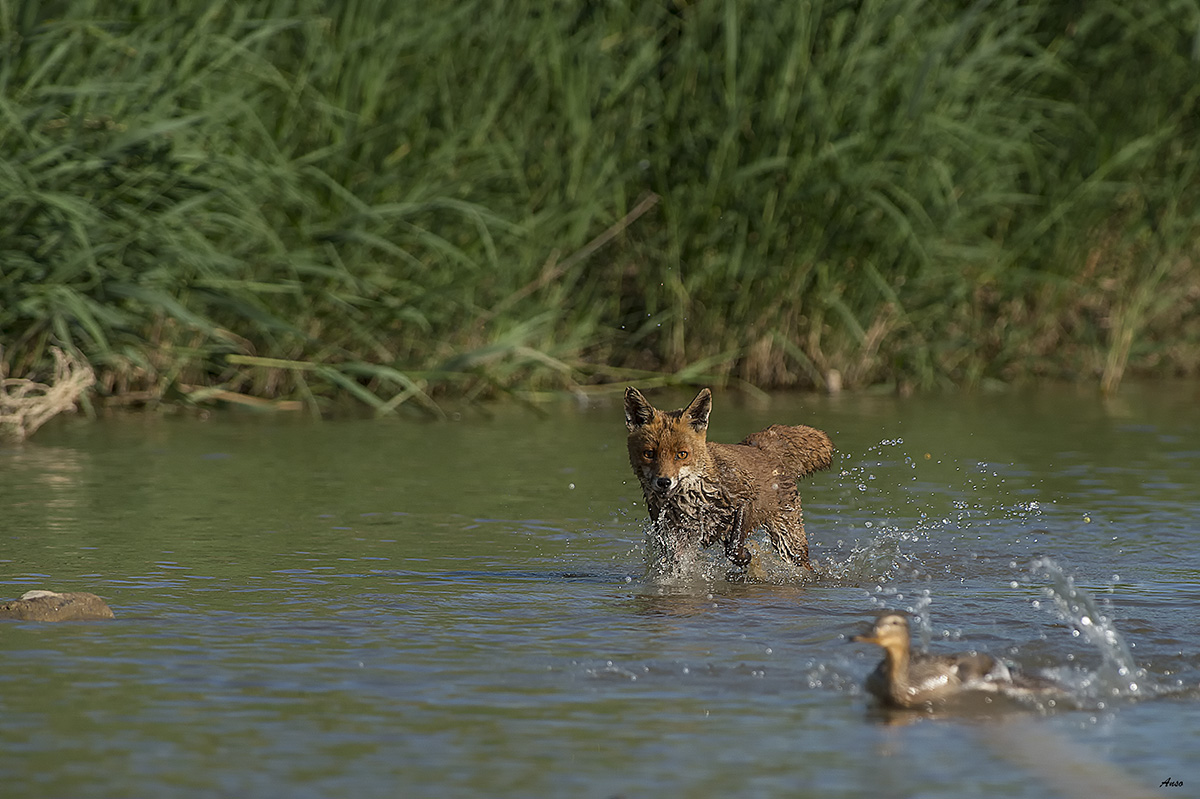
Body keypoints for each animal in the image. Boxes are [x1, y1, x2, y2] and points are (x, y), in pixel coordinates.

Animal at [624, 386, 833, 570]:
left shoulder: (745, 499)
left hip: (789, 542)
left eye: (682, 454)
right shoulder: (673, 536)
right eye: (649, 454)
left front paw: (744, 556)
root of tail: (762, 446)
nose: (664, 482)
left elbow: (734, 547)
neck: (693, 499)